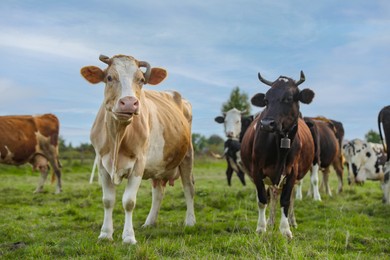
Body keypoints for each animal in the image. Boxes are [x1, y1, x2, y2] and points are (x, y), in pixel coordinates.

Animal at [79, 53, 195, 245]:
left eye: (141, 80)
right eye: (109, 77)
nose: (129, 103)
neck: (118, 136)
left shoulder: (139, 164)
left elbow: (129, 201)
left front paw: (128, 237)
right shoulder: (102, 164)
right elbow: (108, 200)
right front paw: (105, 233)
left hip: (187, 155)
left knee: (188, 187)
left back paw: (190, 221)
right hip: (159, 166)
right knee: (158, 192)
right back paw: (149, 222)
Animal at [239, 70, 316, 238]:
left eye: (288, 98)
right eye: (266, 100)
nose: (267, 124)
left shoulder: (292, 172)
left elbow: (286, 200)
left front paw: (286, 229)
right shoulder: (256, 170)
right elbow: (262, 199)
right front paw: (261, 227)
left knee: (289, 197)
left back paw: (291, 222)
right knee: (273, 195)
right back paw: (270, 222)